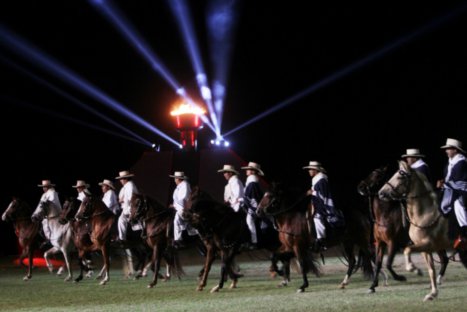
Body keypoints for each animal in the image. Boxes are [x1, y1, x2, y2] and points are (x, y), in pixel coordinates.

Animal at [378, 160, 466, 302]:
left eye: (400, 176)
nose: (381, 193)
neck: (424, 214)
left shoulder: (427, 244)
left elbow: (407, 250)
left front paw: (414, 269)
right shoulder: (426, 249)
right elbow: (431, 270)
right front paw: (432, 293)